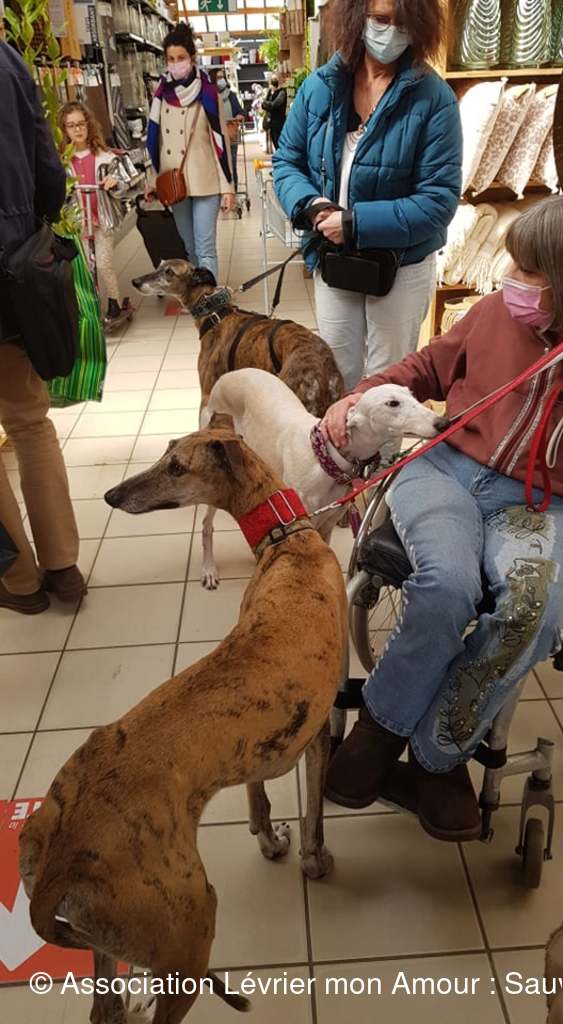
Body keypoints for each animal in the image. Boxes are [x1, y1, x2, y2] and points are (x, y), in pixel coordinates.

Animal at [20, 428, 347, 1024]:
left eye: (175, 465)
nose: (111, 495)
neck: (289, 547)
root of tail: (60, 862)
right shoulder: (317, 735)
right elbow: (314, 817)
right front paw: (314, 861)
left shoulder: (256, 747)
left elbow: (258, 800)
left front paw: (270, 839)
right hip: (187, 934)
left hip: (109, 941)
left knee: (107, 1008)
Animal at [131, 260, 344, 418]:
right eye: (159, 265)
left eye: (169, 272)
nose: (135, 281)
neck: (213, 312)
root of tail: (322, 376)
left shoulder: (207, 397)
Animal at [197, 369, 448, 588]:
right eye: (392, 403)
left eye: (413, 394)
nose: (442, 423)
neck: (325, 457)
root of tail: (225, 378)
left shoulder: (325, 527)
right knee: (206, 525)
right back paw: (208, 569)